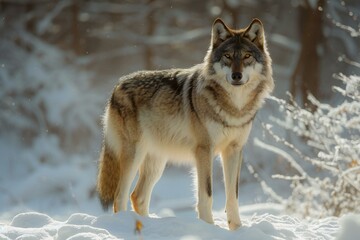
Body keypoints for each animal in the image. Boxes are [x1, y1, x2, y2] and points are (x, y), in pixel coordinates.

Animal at [97, 17, 274, 230]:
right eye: (228, 56)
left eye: (247, 56)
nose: (236, 76)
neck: (234, 107)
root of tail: (117, 85)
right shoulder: (204, 151)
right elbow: (207, 194)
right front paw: (208, 227)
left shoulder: (234, 150)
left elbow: (233, 196)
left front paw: (237, 230)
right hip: (134, 155)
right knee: (119, 197)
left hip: (156, 163)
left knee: (137, 197)